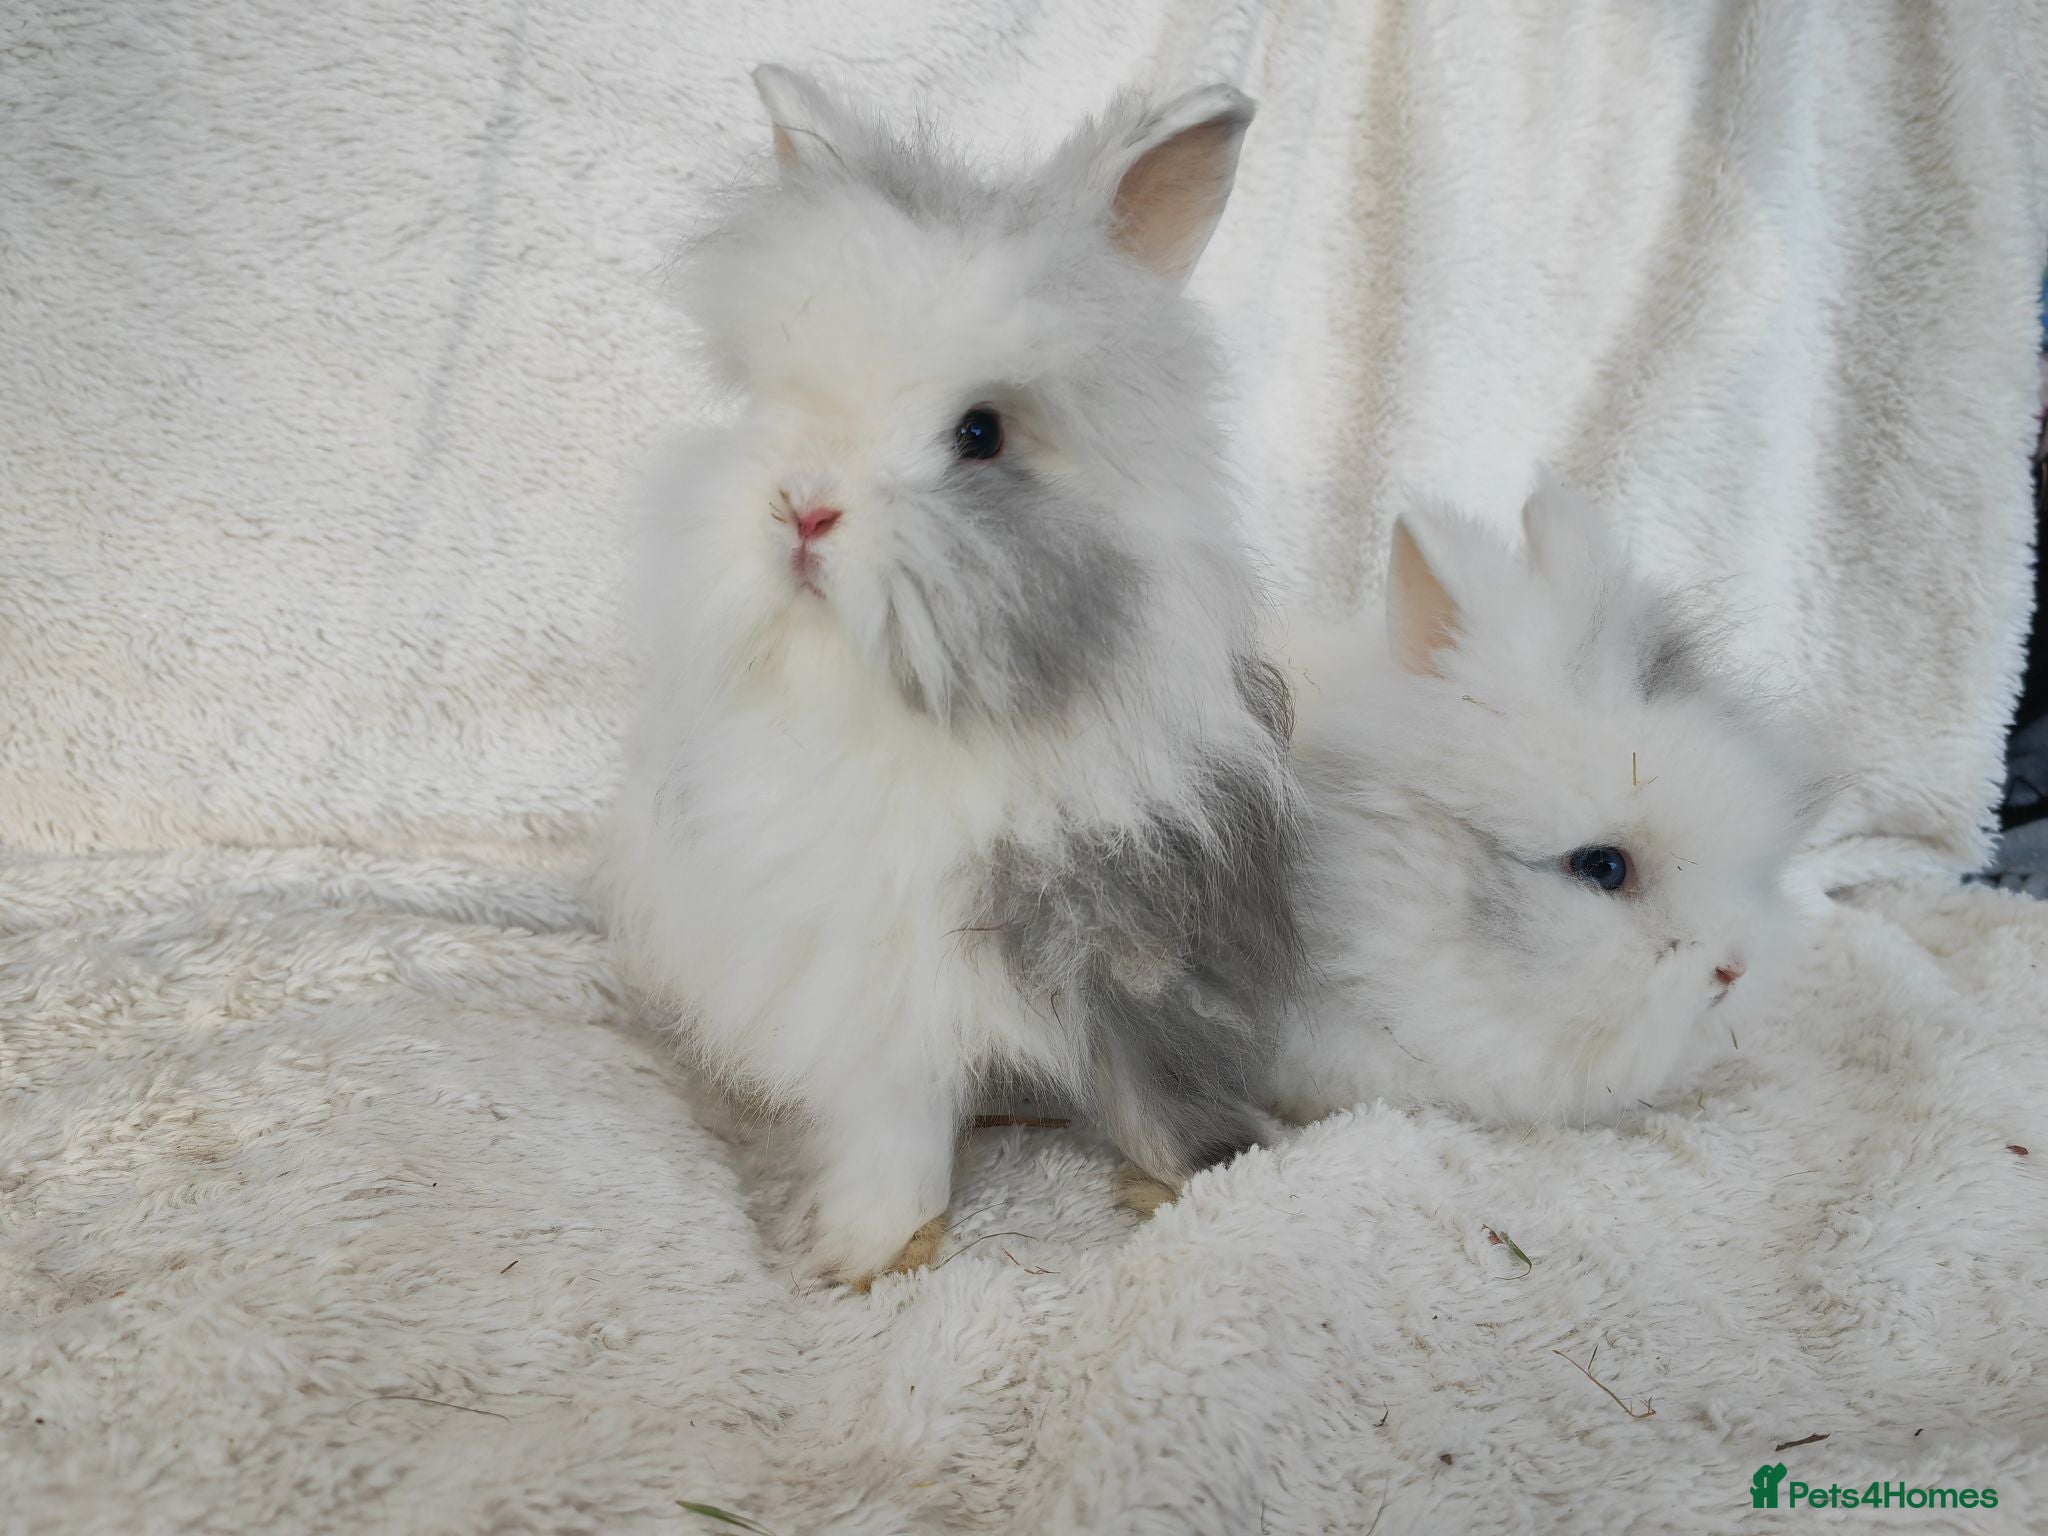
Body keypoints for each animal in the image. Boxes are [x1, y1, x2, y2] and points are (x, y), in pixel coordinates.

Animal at [604, 66, 1306, 1283]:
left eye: (980, 435)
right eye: (789, 405)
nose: (802, 509)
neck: (905, 724)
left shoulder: (1138, 937)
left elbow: (1156, 1084)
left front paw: (1191, 1184)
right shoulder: (873, 981)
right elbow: (893, 1122)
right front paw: (863, 1252)